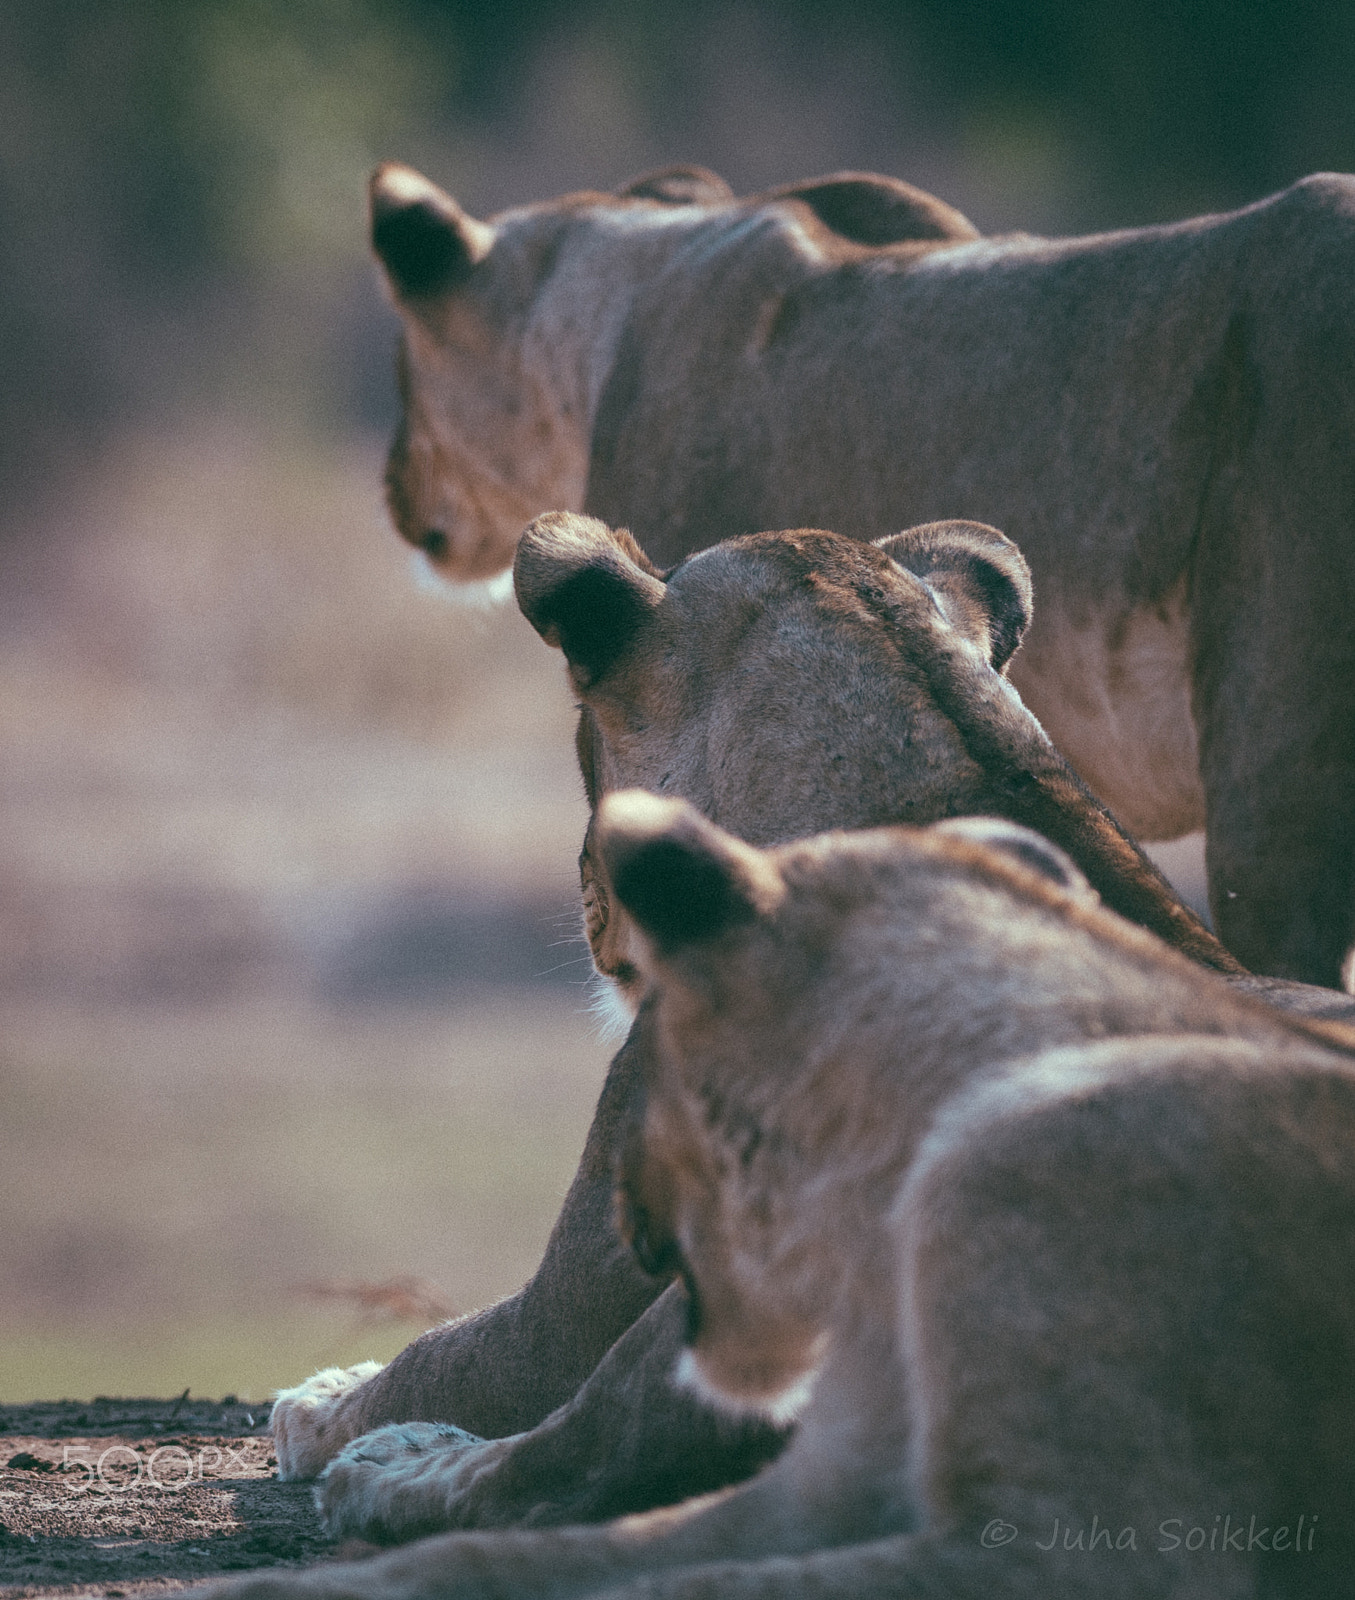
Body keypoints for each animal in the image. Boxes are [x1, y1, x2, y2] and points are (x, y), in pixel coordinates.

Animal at [267, 512, 1355, 1536]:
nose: (588, 892)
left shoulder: (566, 1311)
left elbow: (448, 1355)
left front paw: (322, 1407)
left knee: (549, 1474)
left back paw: (387, 1468)